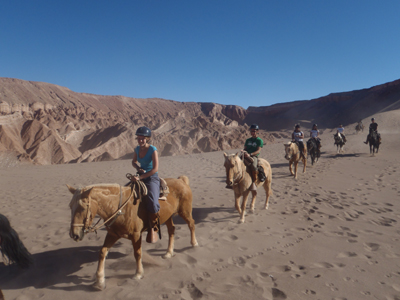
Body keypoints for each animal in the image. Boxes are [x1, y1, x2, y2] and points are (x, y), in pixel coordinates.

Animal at [67, 176, 198, 288]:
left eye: (83, 207)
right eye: (70, 206)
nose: (75, 234)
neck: (120, 208)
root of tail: (181, 180)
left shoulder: (136, 235)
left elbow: (137, 253)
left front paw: (138, 274)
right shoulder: (113, 234)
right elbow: (102, 252)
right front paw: (99, 281)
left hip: (184, 211)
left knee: (191, 224)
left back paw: (194, 243)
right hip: (168, 216)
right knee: (171, 230)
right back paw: (169, 252)